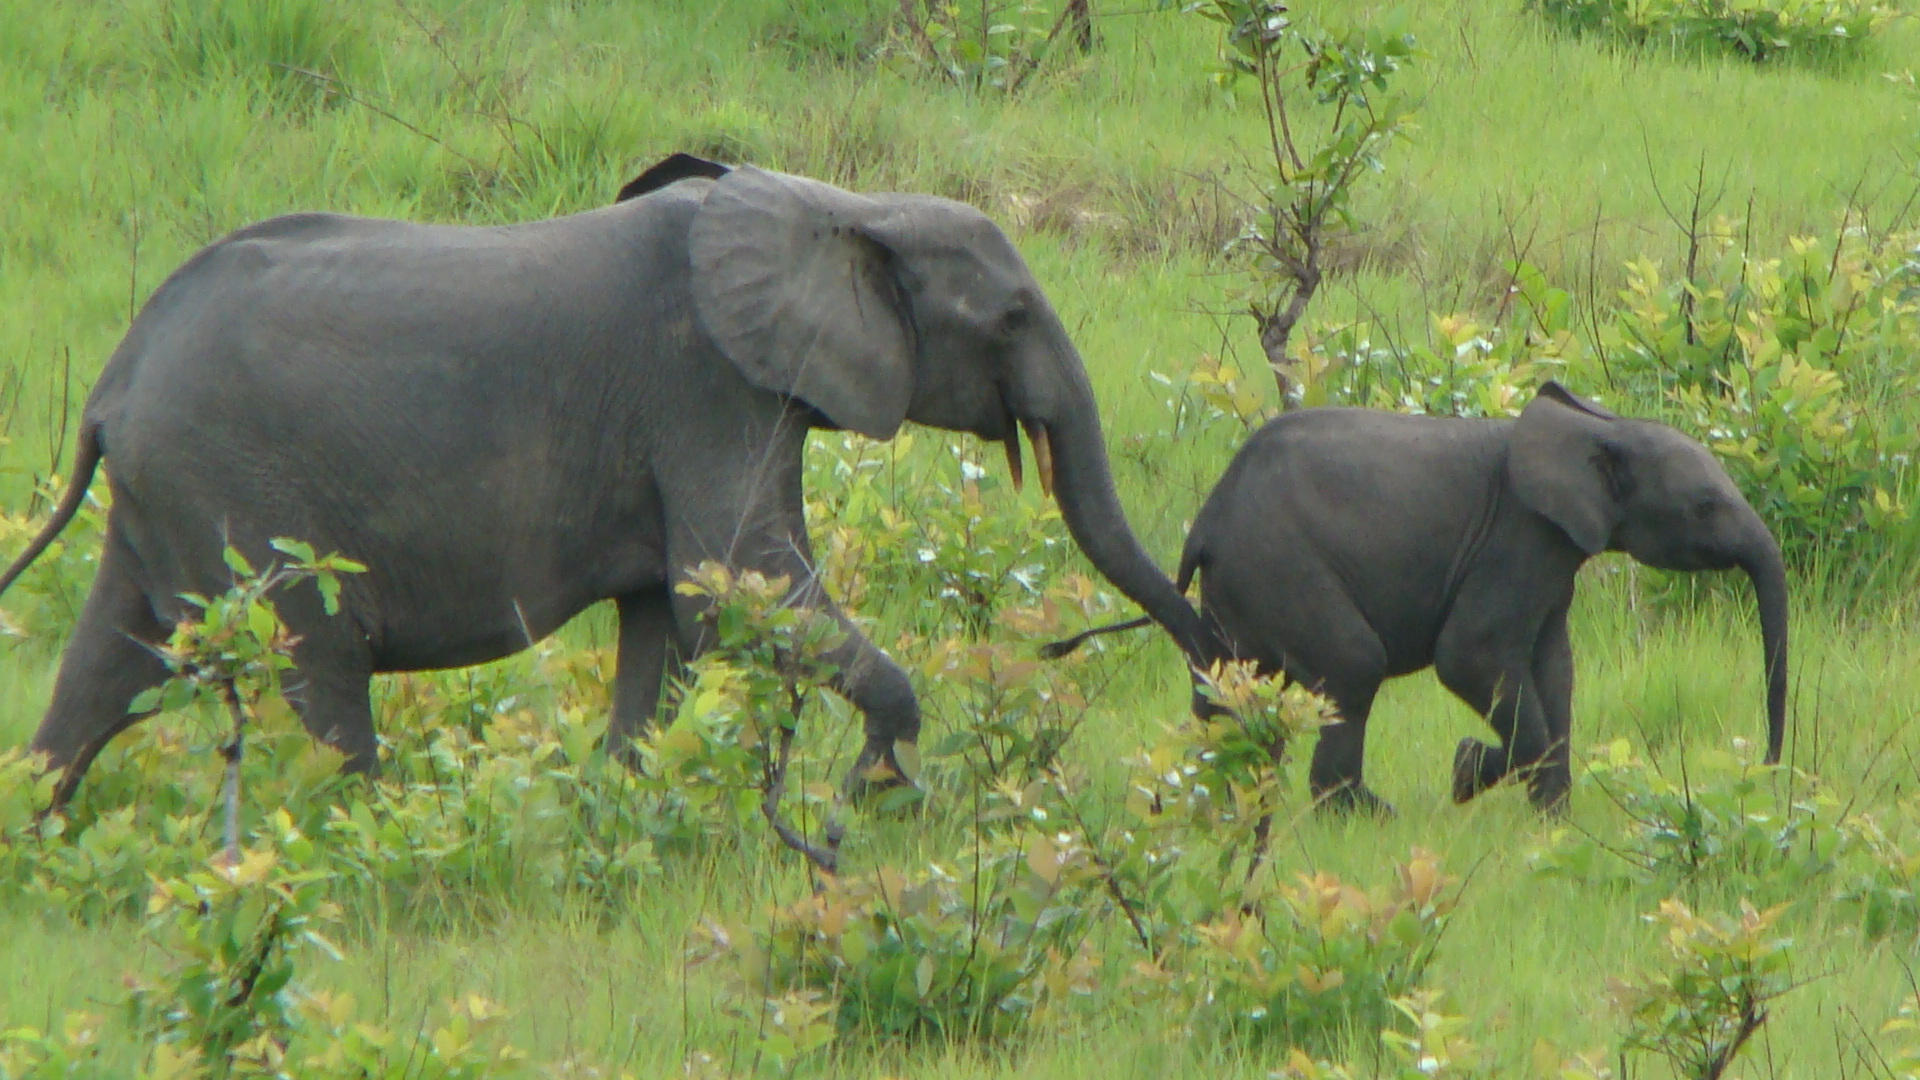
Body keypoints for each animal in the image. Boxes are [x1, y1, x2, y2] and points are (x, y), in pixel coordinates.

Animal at [0, 155, 1198, 803]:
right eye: (1011, 316)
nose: (1214, 691)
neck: (840, 205)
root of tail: (110, 385)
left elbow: (669, 627)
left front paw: (628, 815)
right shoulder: (706, 388)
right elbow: (738, 587)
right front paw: (885, 787)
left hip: (168, 498)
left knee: (106, 670)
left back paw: (41, 842)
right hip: (242, 501)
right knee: (321, 673)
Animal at [1044, 382, 1789, 810]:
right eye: (1705, 506)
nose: (1767, 772)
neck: (1602, 427)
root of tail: (1206, 522)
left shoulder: (1554, 554)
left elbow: (1555, 667)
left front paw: (1550, 816)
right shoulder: (1517, 538)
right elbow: (1473, 657)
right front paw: (1467, 773)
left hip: (1237, 595)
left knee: (1224, 691)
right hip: (1281, 566)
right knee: (1351, 663)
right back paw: (1361, 813)